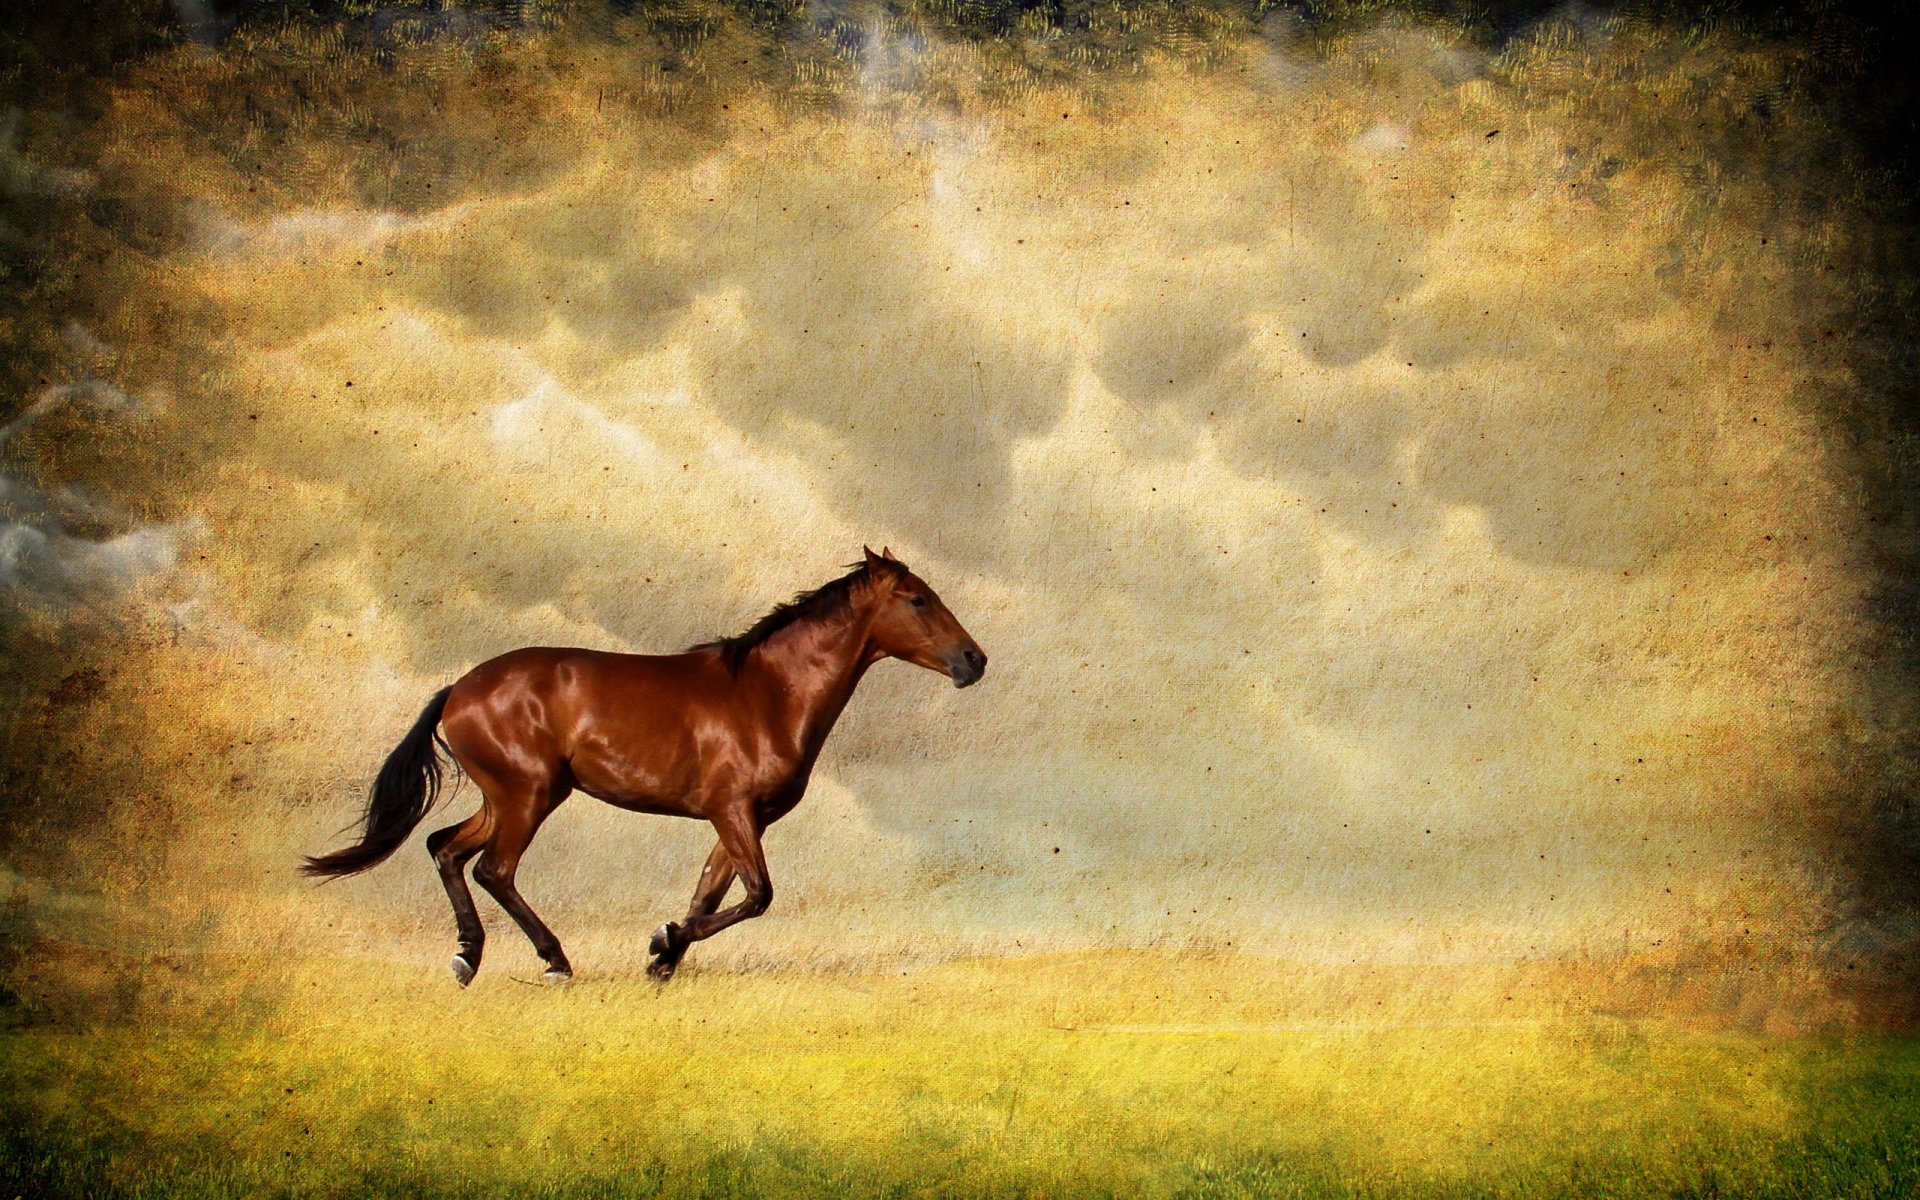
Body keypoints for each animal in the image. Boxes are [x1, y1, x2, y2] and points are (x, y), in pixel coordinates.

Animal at [302, 547, 987, 985]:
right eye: (916, 599)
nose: (973, 660)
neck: (767, 694)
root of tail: (457, 692)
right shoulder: (733, 812)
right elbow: (757, 896)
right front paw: (661, 943)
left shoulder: (740, 821)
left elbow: (709, 896)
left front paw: (663, 959)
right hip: (529, 795)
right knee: (494, 869)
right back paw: (554, 962)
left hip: (507, 796)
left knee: (445, 848)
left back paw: (468, 959)